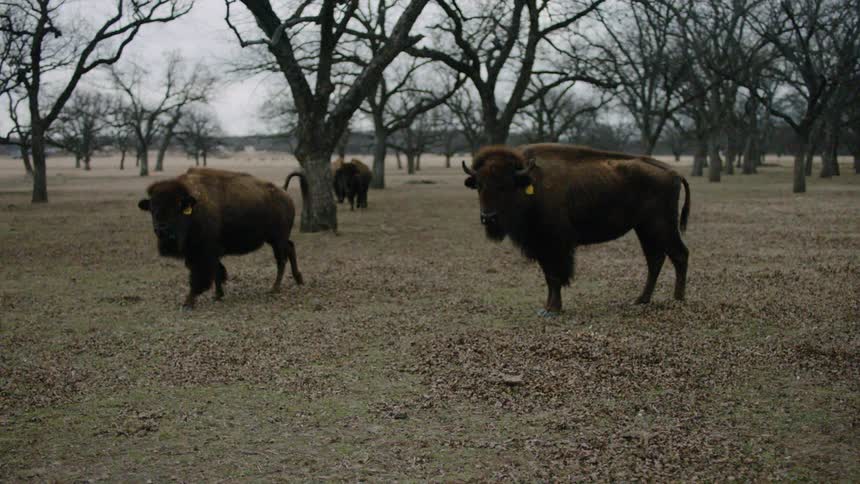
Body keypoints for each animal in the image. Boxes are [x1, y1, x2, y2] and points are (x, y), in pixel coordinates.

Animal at [138, 167, 305, 309]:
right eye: (152, 209)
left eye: (177, 208)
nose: (162, 230)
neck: (194, 208)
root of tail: (284, 191)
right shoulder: (203, 253)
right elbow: (217, 271)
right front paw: (217, 295)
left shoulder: (202, 253)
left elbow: (199, 277)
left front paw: (188, 303)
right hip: (275, 239)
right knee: (290, 248)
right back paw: (298, 280)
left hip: (277, 239)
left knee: (281, 260)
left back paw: (274, 288)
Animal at [463, 143, 690, 317]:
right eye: (479, 185)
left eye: (505, 186)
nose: (488, 218)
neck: (531, 184)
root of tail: (673, 172)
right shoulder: (541, 247)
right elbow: (549, 277)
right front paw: (546, 307)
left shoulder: (555, 246)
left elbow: (556, 276)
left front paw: (553, 309)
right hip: (645, 229)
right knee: (655, 260)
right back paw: (641, 300)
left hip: (661, 227)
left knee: (679, 255)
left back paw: (678, 299)